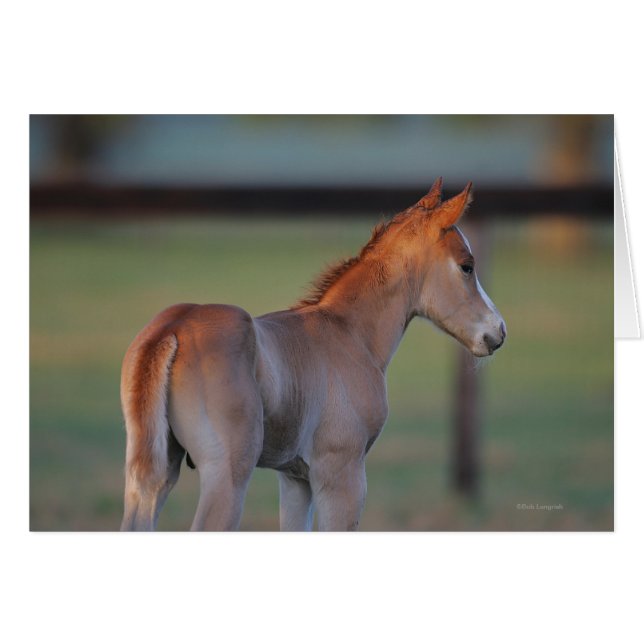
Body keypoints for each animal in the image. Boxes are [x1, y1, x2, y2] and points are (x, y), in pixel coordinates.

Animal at [120, 178, 506, 531]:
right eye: (467, 265)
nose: (498, 331)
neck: (350, 335)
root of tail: (173, 329)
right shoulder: (341, 474)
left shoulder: (295, 478)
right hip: (227, 473)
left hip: (154, 471)